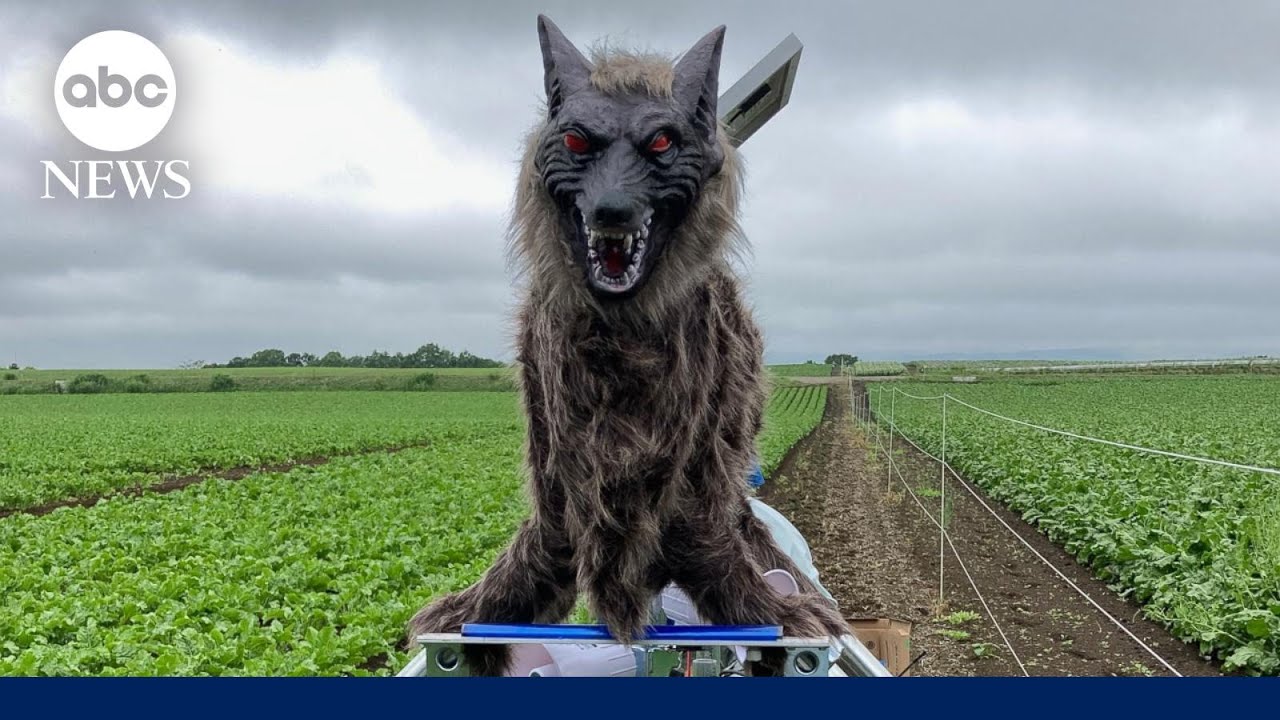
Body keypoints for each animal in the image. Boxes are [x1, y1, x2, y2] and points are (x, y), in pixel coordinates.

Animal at [407, 16, 848, 675]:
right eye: (577, 142)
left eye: (662, 143)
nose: (612, 209)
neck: (620, 335)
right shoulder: (556, 470)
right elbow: (533, 559)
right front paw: (474, 609)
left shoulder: (694, 472)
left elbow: (715, 544)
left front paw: (776, 610)